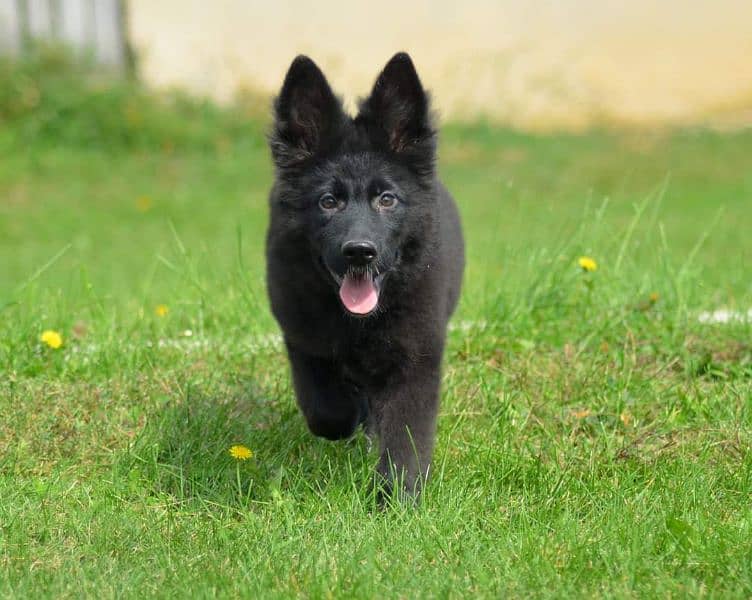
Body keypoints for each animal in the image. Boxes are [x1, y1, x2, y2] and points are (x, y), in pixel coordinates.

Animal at [264, 52, 464, 496]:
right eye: (328, 201)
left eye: (386, 199)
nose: (359, 251)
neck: (358, 321)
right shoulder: (303, 337)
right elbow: (327, 410)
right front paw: (348, 415)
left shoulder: (415, 357)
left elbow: (406, 436)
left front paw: (396, 498)